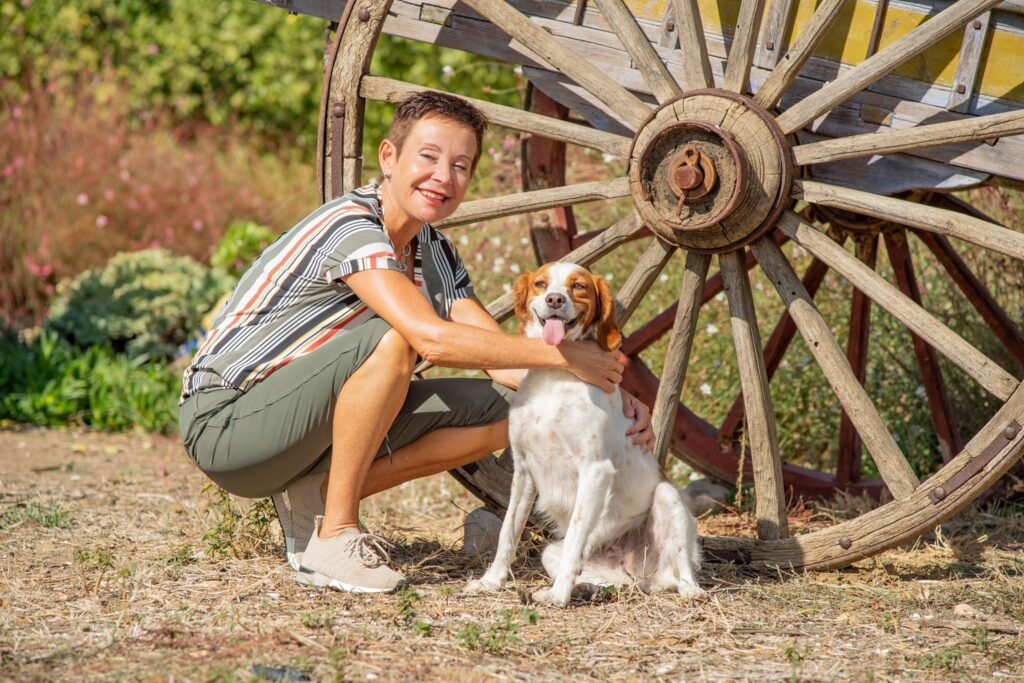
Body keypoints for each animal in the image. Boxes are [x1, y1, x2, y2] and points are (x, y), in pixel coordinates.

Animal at [464, 264, 704, 610]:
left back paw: (689, 590)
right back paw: (589, 589)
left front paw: (558, 596)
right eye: (541, 283)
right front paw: (490, 582)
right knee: (611, 582)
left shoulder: (595, 470)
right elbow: (508, 533)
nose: (554, 299)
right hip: (552, 553)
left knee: (681, 572)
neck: (555, 374)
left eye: (577, 286)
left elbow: (576, 536)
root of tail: (638, 571)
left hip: (668, 499)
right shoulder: (523, 471)